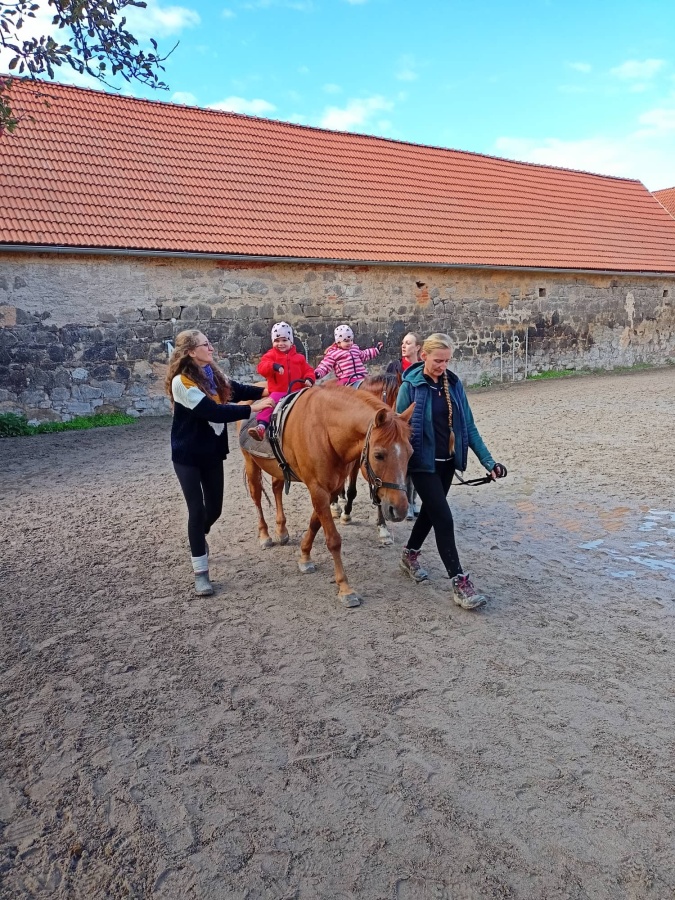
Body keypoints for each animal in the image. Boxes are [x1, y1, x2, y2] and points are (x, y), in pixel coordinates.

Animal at [240, 381, 414, 607]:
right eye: (379, 455)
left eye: (410, 453)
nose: (400, 509)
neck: (326, 431)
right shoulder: (318, 489)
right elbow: (333, 539)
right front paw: (345, 588)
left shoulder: (331, 489)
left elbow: (315, 523)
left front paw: (305, 556)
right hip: (251, 464)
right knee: (257, 498)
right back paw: (265, 535)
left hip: (277, 469)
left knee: (277, 489)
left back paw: (281, 530)